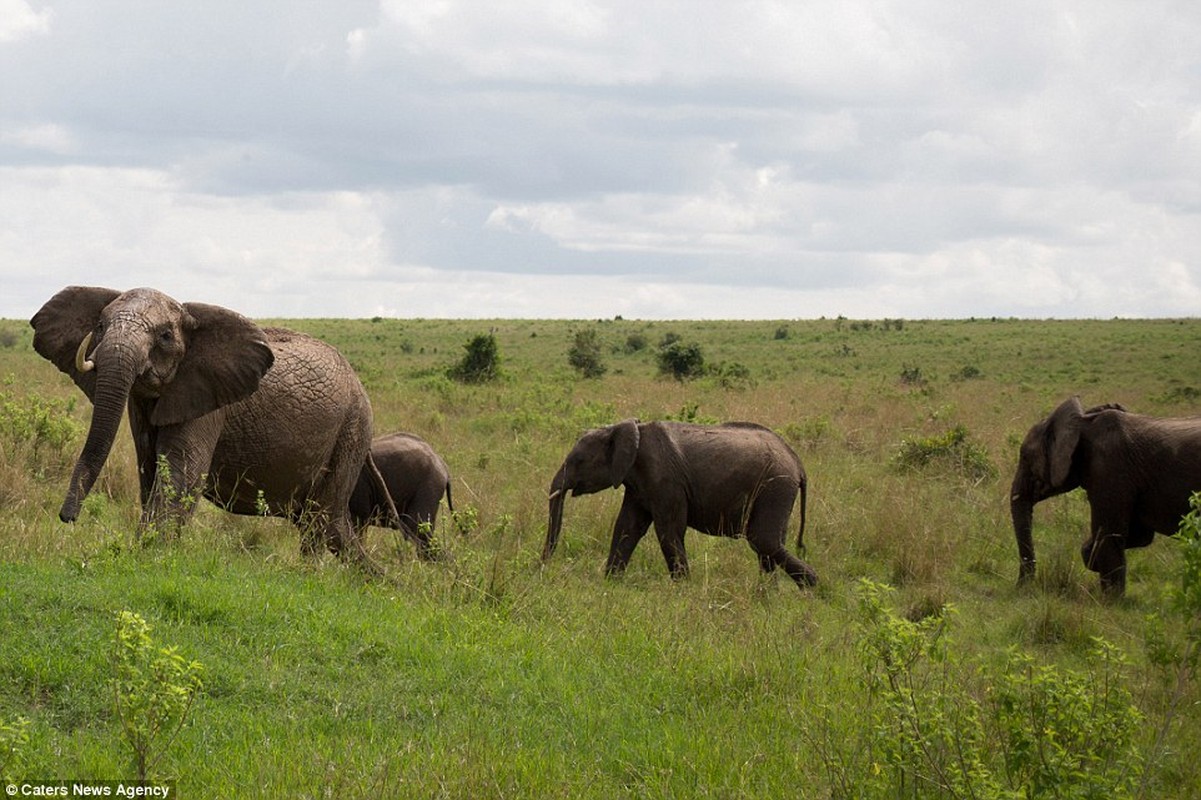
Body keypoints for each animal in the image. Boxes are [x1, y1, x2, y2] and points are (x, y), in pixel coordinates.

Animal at [31, 284, 393, 566]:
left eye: (165, 336)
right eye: (100, 325)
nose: (68, 517)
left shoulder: (207, 399)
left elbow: (181, 476)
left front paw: (146, 556)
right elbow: (150, 472)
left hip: (353, 428)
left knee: (324, 521)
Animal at [542, 418, 816, 586]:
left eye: (578, 461)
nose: (542, 567)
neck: (629, 430)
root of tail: (798, 463)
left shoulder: (666, 481)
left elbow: (668, 530)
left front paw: (682, 590)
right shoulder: (638, 484)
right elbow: (626, 528)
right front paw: (610, 583)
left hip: (775, 486)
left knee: (763, 540)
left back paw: (811, 588)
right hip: (776, 490)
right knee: (768, 545)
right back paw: (768, 596)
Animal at [1013, 396, 1201, 595]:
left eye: (1025, 457)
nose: (1021, 588)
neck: (1082, 422)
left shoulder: (1109, 468)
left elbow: (1109, 534)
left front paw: (1111, 599)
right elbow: (1138, 534)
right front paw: (1092, 558)